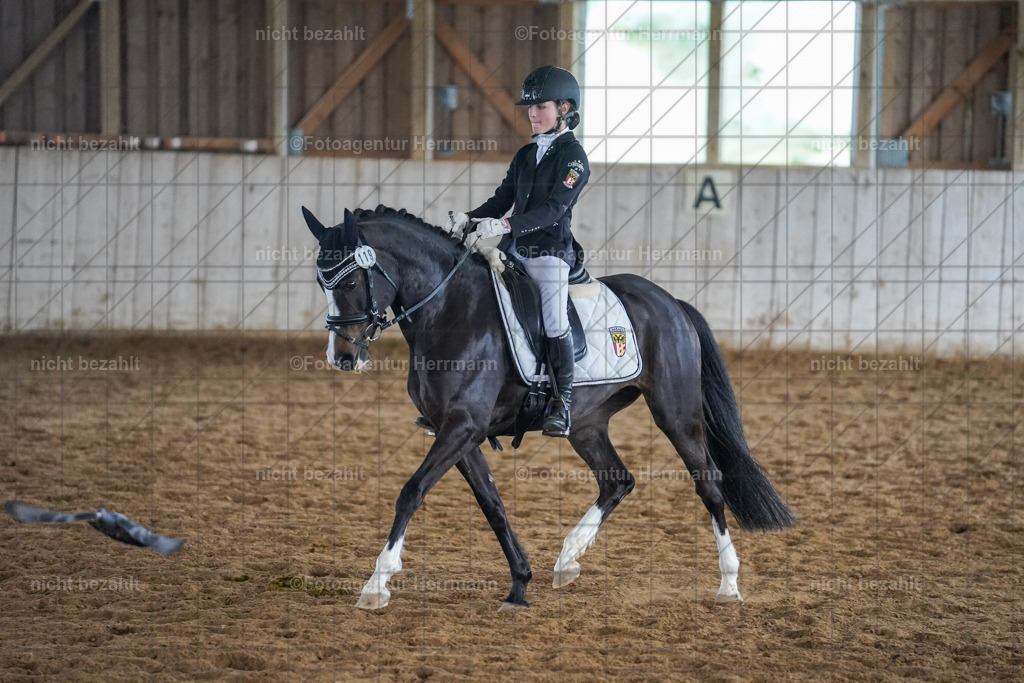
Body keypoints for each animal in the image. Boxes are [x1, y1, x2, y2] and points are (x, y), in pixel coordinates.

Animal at [303, 204, 796, 611]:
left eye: (350, 280)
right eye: (322, 281)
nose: (341, 357)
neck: (450, 310)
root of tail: (670, 302)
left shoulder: (463, 426)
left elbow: (412, 491)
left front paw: (376, 585)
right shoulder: (457, 431)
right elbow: (492, 504)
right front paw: (520, 585)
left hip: (677, 415)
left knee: (708, 483)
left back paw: (729, 584)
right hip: (587, 424)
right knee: (617, 480)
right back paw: (568, 558)